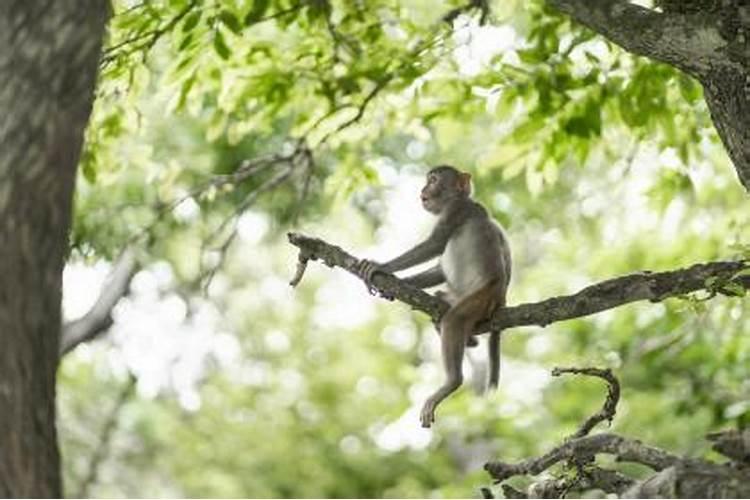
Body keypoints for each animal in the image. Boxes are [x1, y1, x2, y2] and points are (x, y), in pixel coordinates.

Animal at [356, 166, 512, 428]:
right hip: (459, 295)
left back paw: (451, 382)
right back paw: (470, 340)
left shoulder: (456, 212)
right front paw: (397, 283)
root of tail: (501, 297)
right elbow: (439, 268)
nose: (423, 189)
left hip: (481, 298)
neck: (459, 199)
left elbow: (435, 244)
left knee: (454, 320)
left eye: (433, 180)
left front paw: (383, 267)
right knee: (443, 307)